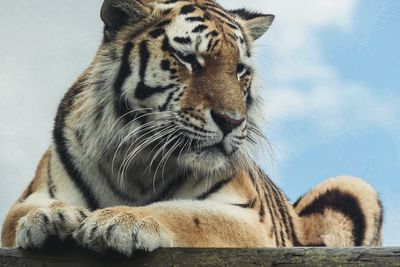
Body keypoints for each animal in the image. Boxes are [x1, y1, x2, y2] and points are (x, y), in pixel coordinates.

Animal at [0, 0, 382, 255]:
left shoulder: (247, 219)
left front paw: (119, 220)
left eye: (240, 70)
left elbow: (185, 213)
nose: (232, 121)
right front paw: (51, 218)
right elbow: (25, 213)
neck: (139, 166)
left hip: (354, 186)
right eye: (188, 59)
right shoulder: (26, 199)